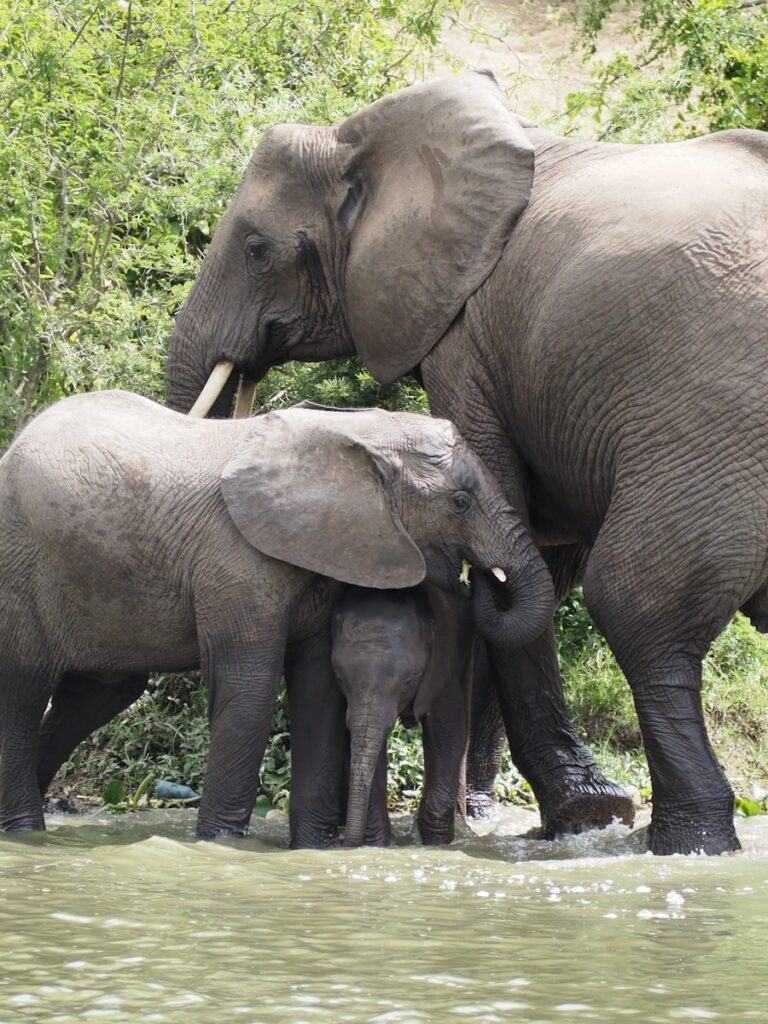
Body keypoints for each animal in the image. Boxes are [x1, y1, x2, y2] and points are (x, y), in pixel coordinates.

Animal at [331, 583, 473, 847]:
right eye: (339, 678)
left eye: (409, 681)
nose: (342, 840)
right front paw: (380, 845)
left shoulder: (442, 661)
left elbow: (448, 728)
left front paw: (435, 843)